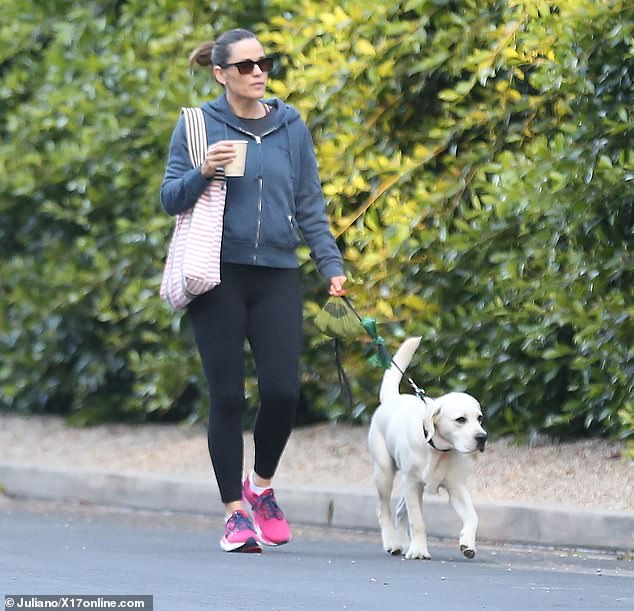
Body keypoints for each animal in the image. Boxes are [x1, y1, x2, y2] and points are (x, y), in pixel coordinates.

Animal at [366, 338, 484, 560]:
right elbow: (418, 521)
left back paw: (404, 543)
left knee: (399, 511)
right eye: (460, 420)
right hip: (385, 473)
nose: (483, 437)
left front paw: (467, 543)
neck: (439, 451)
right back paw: (393, 542)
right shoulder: (413, 485)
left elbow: (473, 517)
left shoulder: (456, 487)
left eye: (479, 418)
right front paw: (419, 550)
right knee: (383, 509)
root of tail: (392, 399)